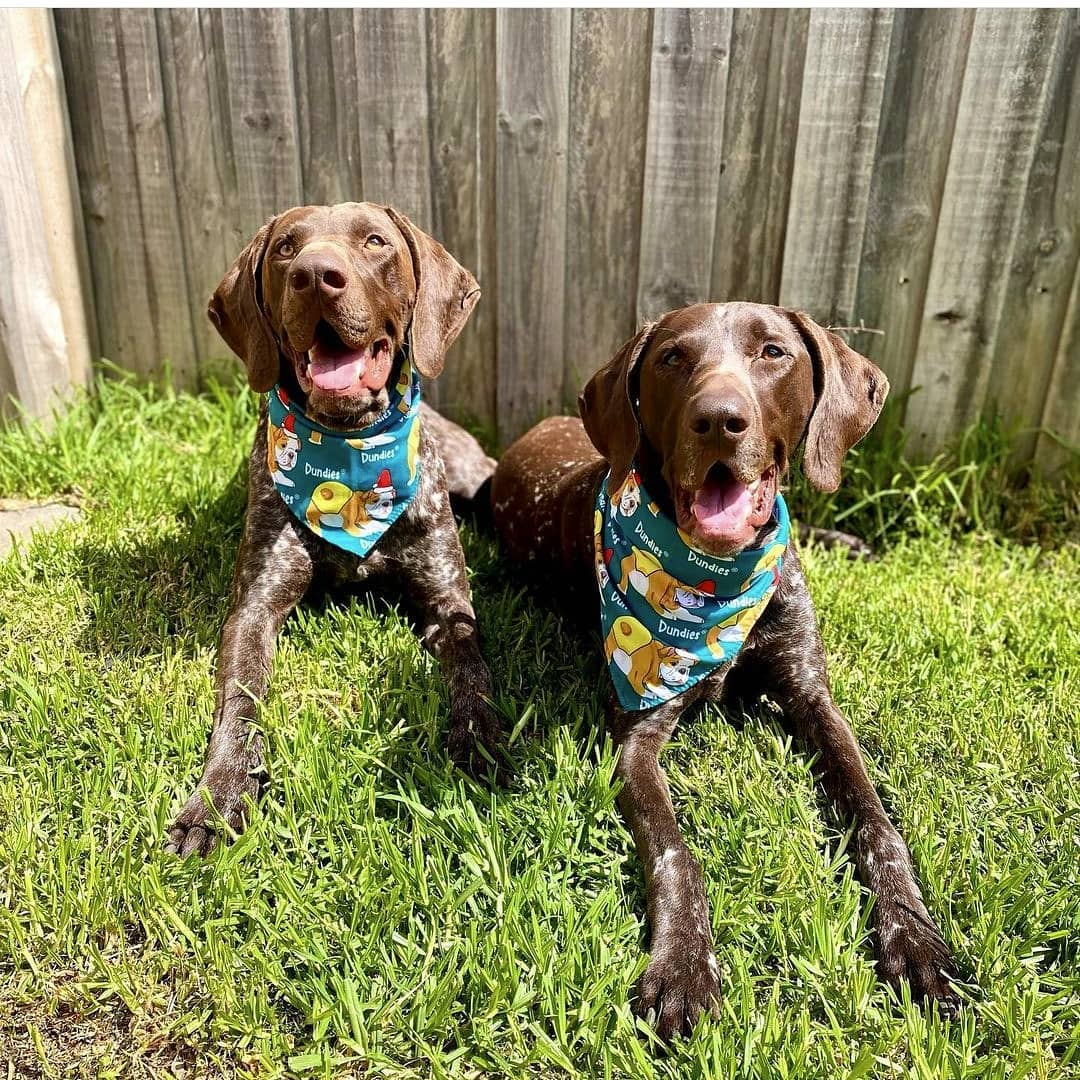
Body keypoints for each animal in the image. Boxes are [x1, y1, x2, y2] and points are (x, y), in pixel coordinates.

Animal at [167, 200, 501, 859]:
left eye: (374, 241)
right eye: (285, 250)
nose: (316, 275)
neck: (349, 458)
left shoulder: (448, 600)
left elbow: (471, 666)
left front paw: (477, 739)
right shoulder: (253, 610)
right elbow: (240, 705)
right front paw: (217, 796)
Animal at [492, 302, 963, 1036]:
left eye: (773, 352)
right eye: (671, 359)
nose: (718, 419)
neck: (716, 581)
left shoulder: (814, 700)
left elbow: (876, 821)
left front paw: (912, 934)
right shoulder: (635, 737)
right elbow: (674, 853)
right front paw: (683, 965)